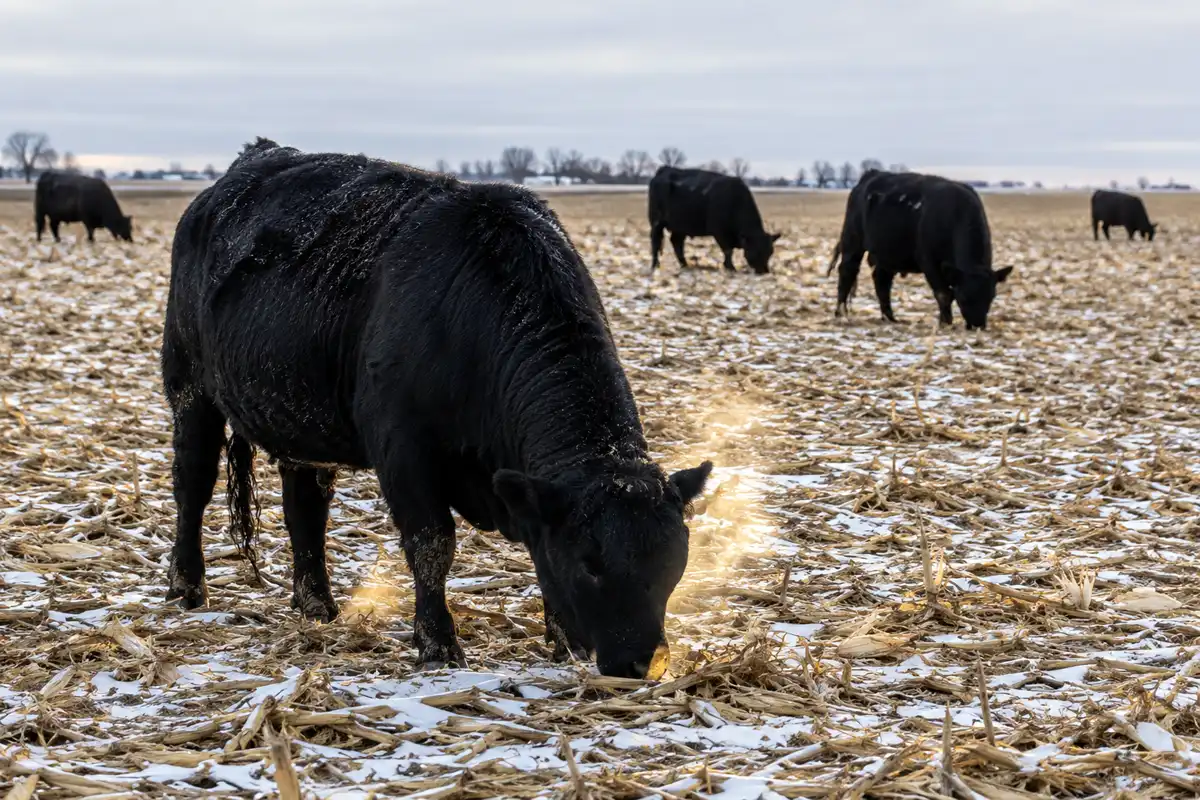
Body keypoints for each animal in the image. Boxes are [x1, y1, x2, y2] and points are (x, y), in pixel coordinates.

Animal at [162, 138, 712, 679]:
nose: (642, 661)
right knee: (193, 487)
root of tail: (251, 161)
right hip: (190, 391)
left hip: (300, 424)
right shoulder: (404, 449)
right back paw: (187, 588)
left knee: (305, 512)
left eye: (674, 560)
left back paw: (318, 606)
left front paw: (563, 642)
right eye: (589, 561)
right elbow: (432, 545)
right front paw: (438, 644)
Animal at [648, 166, 781, 274]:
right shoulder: (719, 232)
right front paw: (731, 267)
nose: (764, 271)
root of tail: (665, 170)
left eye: (770, 251)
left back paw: (684, 265)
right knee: (656, 242)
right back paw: (655, 265)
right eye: (756, 250)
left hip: (680, 225)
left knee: (677, 242)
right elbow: (728, 251)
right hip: (656, 222)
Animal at [828, 170, 1013, 331]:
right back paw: (841, 313)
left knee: (882, 281)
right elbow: (944, 294)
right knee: (847, 271)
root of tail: (871, 175)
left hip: (887, 254)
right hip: (852, 240)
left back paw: (889, 317)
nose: (977, 325)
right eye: (964, 297)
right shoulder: (929, 262)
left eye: (991, 296)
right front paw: (946, 323)